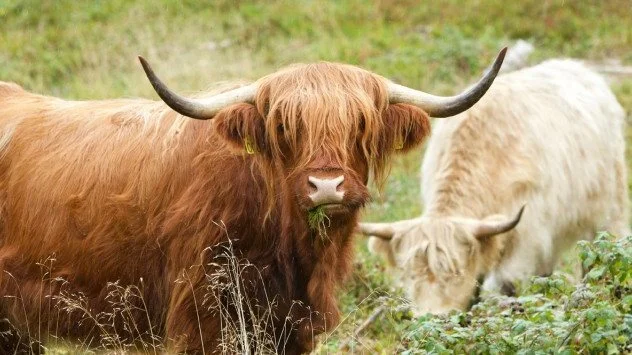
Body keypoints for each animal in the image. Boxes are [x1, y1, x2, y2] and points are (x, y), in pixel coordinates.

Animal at [358, 59, 628, 316]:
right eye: (410, 274)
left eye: (456, 271)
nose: (433, 315)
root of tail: (581, 69)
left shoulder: (527, 236)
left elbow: (507, 285)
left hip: (609, 213)